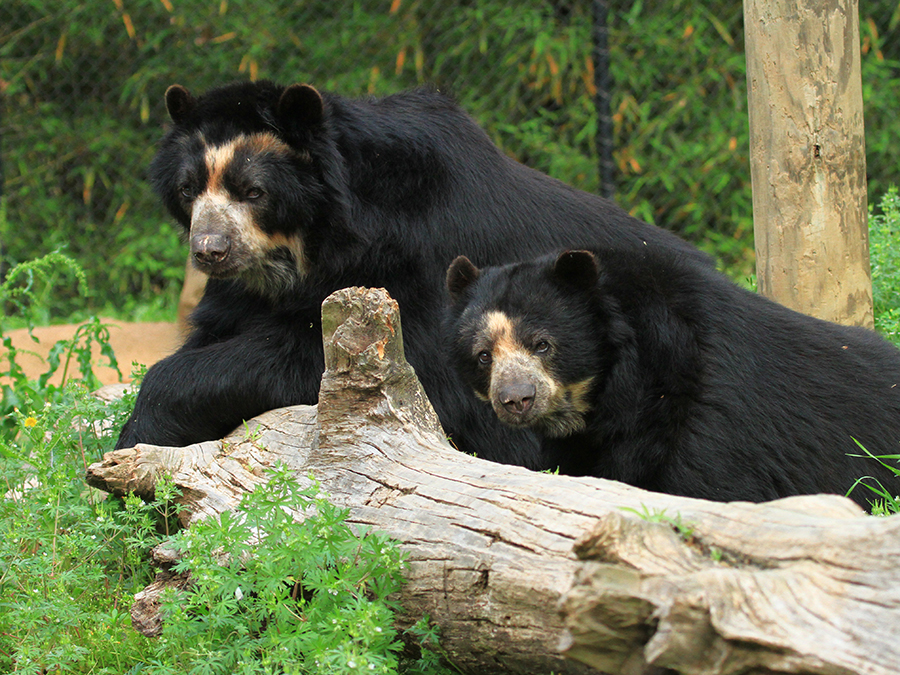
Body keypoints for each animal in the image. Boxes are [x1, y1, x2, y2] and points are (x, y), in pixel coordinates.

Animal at [119, 79, 708, 468]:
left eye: (254, 192)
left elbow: (337, 357)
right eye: (188, 189)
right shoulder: (246, 290)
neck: (313, 247)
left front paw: (138, 434)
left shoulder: (420, 265)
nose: (209, 250)